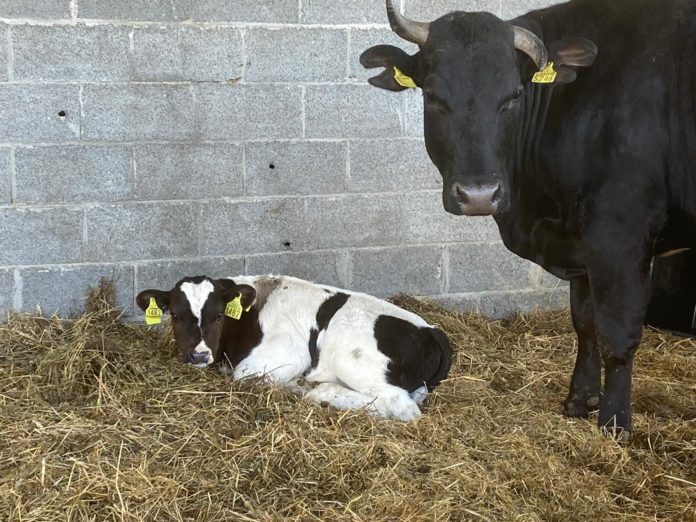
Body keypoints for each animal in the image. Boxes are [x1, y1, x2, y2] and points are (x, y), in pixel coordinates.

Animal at [136, 272, 452, 418]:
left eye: (217, 316)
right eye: (176, 316)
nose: (200, 355)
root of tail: (431, 330)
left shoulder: (288, 352)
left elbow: (243, 376)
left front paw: (298, 385)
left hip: (352, 360)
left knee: (401, 407)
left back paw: (320, 393)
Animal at [362, 0, 696, 436]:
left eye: (515, 95)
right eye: (432, 95)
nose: (478, 195)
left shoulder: (621, 235)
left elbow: (617, 335)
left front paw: (614, 423)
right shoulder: (582, 243)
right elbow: (585, 324)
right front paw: (579, 400)